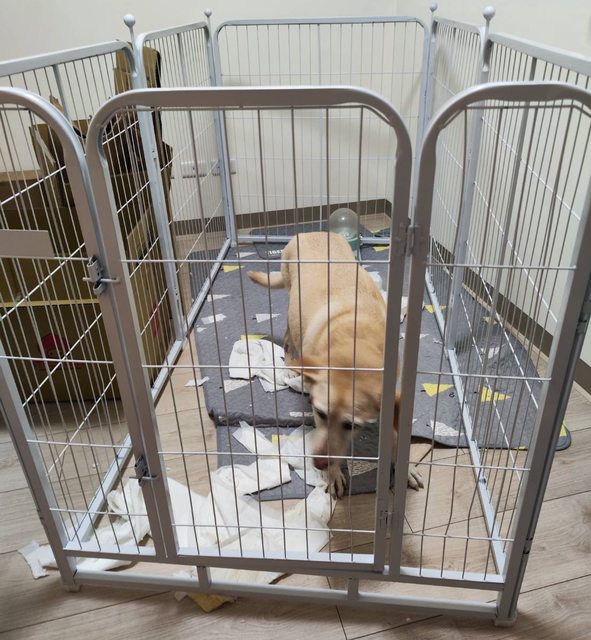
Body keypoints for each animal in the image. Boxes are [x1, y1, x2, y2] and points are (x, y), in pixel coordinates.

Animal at [248, 232, 422, 498]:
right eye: (320, 413)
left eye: (351, 425)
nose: (319, 464)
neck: (356, 342)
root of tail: (308, 232)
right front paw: (333, 475)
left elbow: (396, 435)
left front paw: (407, 468)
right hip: (291, 306)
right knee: (288, 338)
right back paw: (289, 365)